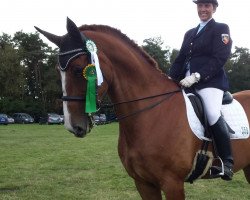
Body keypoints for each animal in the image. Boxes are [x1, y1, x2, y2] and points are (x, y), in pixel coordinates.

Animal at [36, 18, 250, 199]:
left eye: (77, 69)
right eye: (58, 70)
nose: (73, 126)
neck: (150, 116)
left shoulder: (172, 183)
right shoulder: (143, 183)